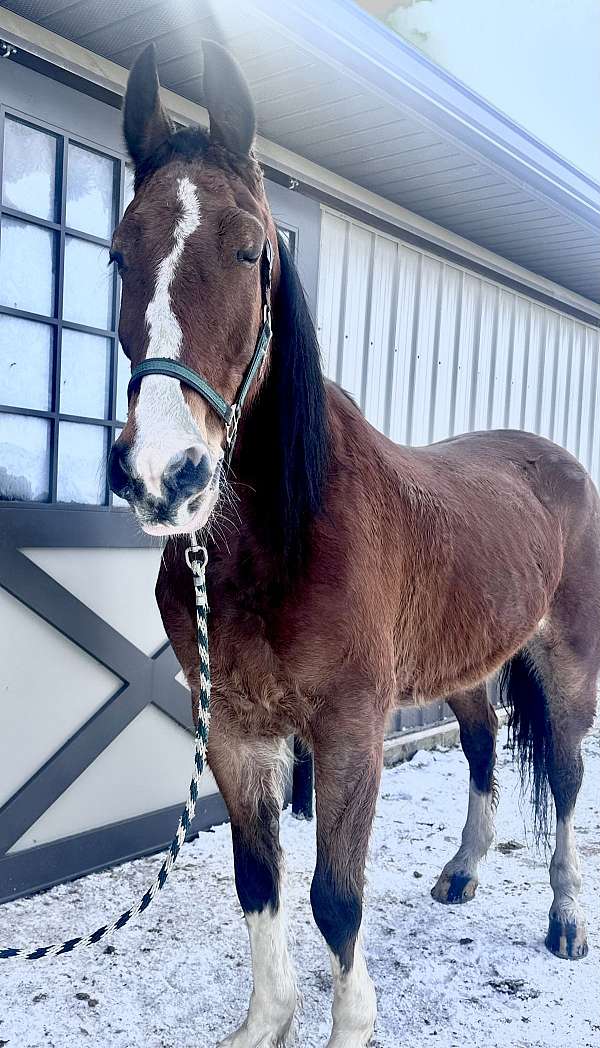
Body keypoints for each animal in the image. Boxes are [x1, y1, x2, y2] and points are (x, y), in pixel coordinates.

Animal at [108, 42, 598, 1048]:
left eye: (251, 248)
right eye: (118, 253)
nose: (164, 475)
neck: (278, 542)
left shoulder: (348, 731)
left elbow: (337, 897)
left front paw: (349, 1023)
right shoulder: (236, 732)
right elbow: (259, 879)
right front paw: (268, 1021)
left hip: (567, 663)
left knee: (567, 782)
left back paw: (566, 918)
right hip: (468, 665)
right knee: (485, 748)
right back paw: (462, 872)